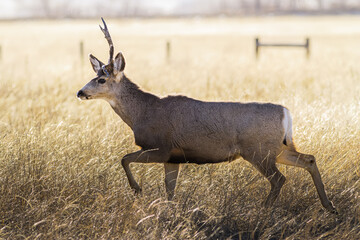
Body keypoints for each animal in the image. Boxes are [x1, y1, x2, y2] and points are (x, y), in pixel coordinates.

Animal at [76, 18, 338, 214]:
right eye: (93, 76)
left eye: (101, 79)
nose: (80, 92)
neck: (143, 113)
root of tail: (286, 113)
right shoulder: (173, 157)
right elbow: (169, 190)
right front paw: (166, 209)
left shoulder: (161, 147)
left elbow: (124, 158)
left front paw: (137, 189)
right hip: (277, 148)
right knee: (309, 159)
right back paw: (329, 206)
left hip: (258, 150)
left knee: (279, 179)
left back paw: (264, 210)